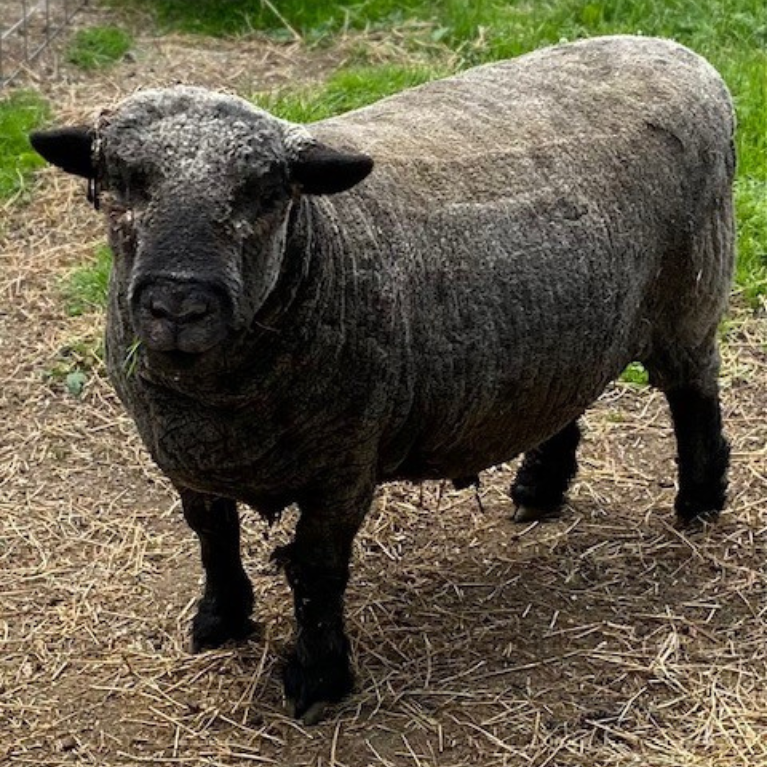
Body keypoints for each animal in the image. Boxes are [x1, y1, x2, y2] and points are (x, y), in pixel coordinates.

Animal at [31, 34, 736, 720]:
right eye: (119, 181)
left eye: (267, 193)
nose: (178, 305)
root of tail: (673, 49)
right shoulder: (186, 457)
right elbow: (213, 537)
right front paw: (221, 619)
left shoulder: (343, 465)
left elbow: (315, 571)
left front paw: (317, 676)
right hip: (569, 321)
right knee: (564, 394)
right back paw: (540, 486)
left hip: (691, 294)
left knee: (694, 395)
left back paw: (699, 500)